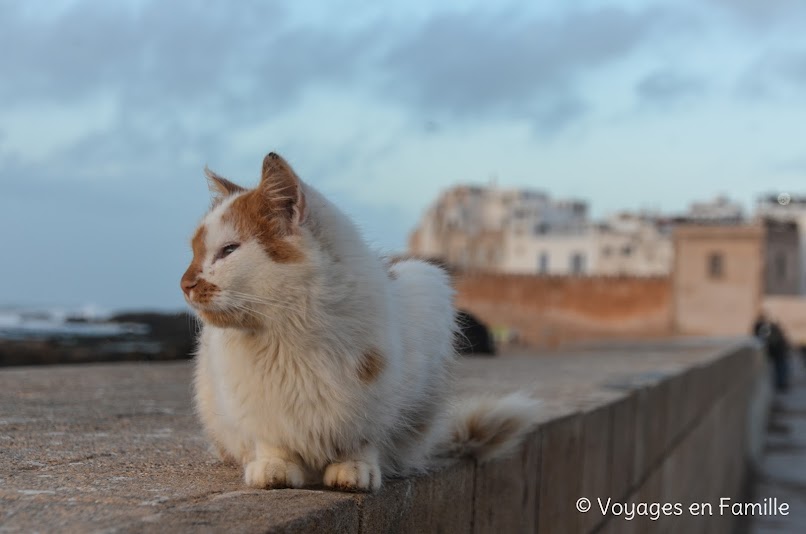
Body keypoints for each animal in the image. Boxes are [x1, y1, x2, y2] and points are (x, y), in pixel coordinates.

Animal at [180, 153, 540, 492]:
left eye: (228, 251)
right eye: (195, 252)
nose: (185, 284)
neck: (289, 331)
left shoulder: (379, 399)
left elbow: (363, 439)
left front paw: (354, 469)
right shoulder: (254, 408)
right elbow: (273, 440)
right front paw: (274, 467)